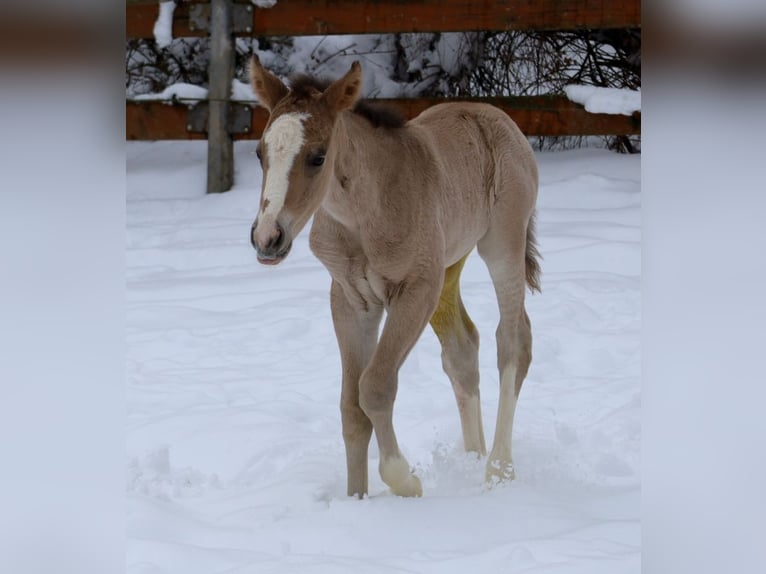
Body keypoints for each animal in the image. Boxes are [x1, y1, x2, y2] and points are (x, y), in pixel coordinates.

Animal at [248, 56, 540, 498]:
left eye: (318, 157)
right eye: (260, 152)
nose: (267, 238)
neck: (362, 216)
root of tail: (499, 117)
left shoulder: (415, 289)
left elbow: (374, 387)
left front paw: (405, 481)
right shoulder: (351, 299)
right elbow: (351, 407)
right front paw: (356, 498)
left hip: (501, 244)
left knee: (512, 339)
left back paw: (497, 470)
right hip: (448, 268)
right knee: (462, 347)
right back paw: (472, 458)